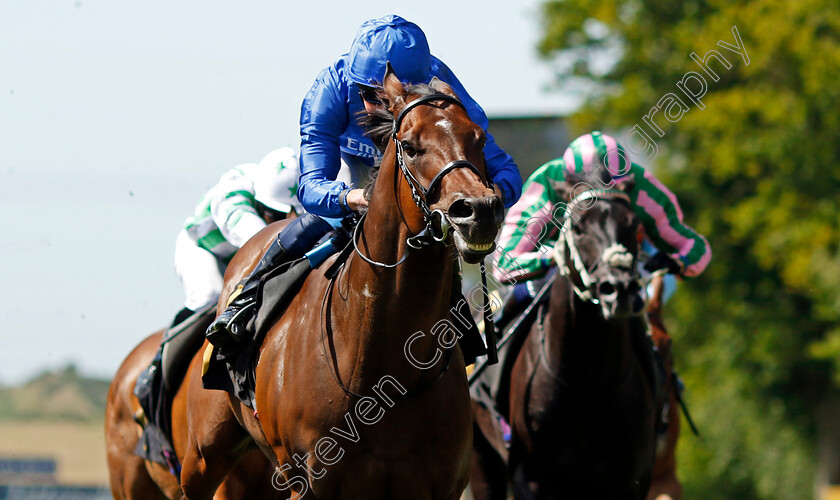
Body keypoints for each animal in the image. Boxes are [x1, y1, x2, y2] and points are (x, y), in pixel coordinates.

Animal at [111, 64, 506, 498]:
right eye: (411, 145)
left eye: (479, 137)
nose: (479, 210)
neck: (381, 364)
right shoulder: (307, 483)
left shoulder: (439, 484)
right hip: (196, 461)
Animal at [470, 170, 660, 498]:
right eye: (579, 227)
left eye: (634, 225)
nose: (619, 289)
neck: (589, 382)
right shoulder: (530, 476)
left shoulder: (632, 478)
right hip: (482, 459)